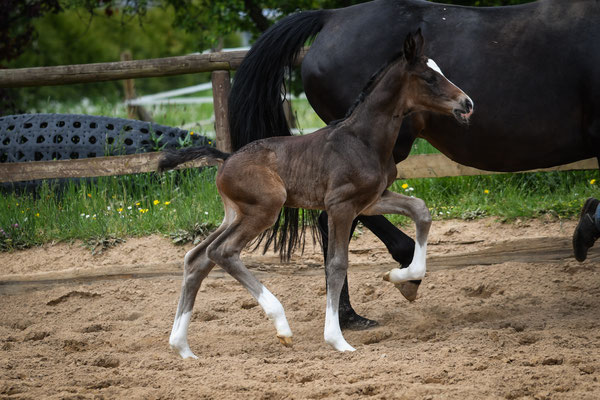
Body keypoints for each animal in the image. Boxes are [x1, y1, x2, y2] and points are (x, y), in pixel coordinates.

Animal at [159, 30, 474, 356]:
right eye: (429, 78)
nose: (467, 103)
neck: (362, 140)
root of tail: (225, 158)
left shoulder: (372, 200)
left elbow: (421, 211)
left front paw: (400, 277)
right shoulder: (340, 206)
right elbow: (336, 264)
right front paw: (337, 340)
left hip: (235, 214)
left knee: (197, 258)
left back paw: (182, 347)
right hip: (265, 209)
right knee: (222, 251)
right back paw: (281, 325)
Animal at [226, 0, 600, 328]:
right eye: (429, 78)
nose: (468, 104)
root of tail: (332, 16)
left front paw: (584, 231)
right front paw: (585, 232)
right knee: (335, 220)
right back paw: (358, 309)